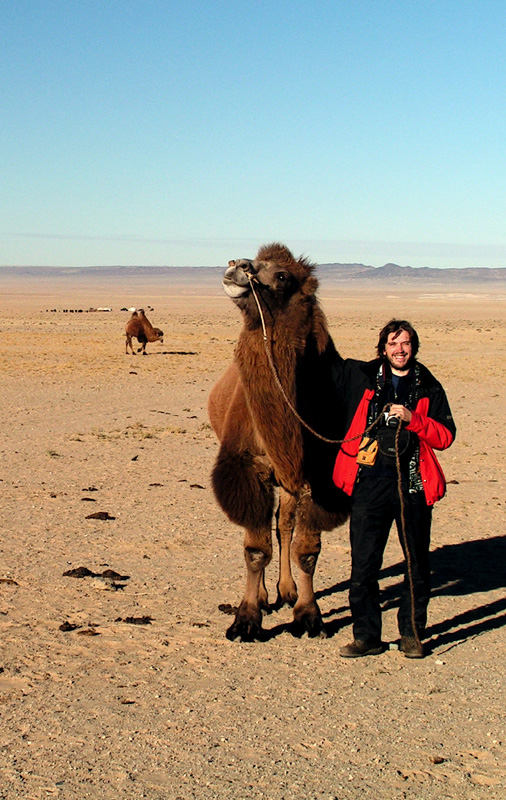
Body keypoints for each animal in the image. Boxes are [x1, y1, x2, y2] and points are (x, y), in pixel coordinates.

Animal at [208, 241, 350, 640]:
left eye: (283, 275)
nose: (236, 265)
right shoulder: (248, 468)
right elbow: (255, 550)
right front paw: (246, 618)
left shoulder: (318, 474)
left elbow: (307, 550)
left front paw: (308, 614)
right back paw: (266, 593)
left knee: (284, 524)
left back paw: (286, 591)